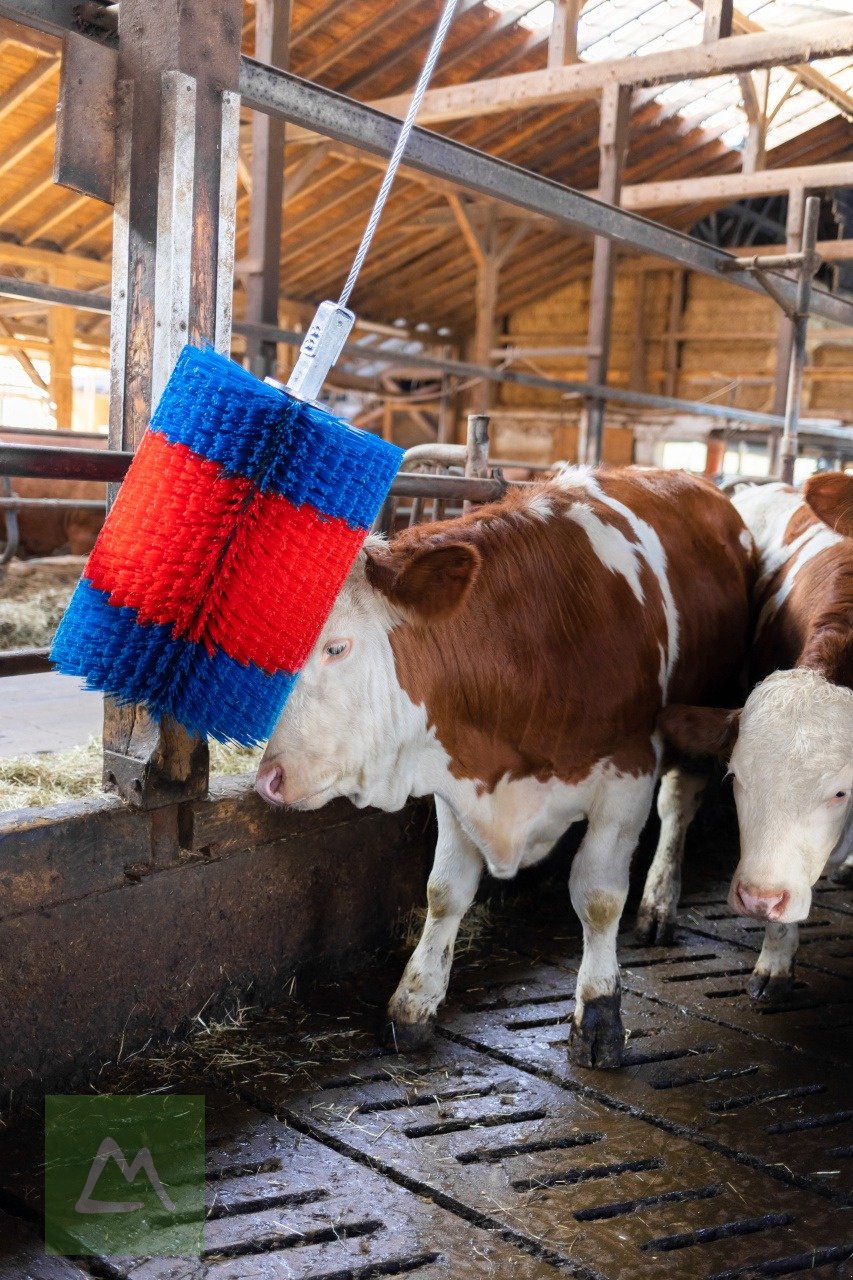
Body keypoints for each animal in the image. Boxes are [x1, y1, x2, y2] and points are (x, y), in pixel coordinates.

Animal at [253, 465, 753, 1064]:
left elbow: (599, 896)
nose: (268, 779)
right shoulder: (458, 776)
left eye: (337, 647)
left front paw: (599, 1014)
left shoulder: (627, 774)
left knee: (679, 806)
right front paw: (413, 1004)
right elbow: (444, 890)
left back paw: (658, 905)